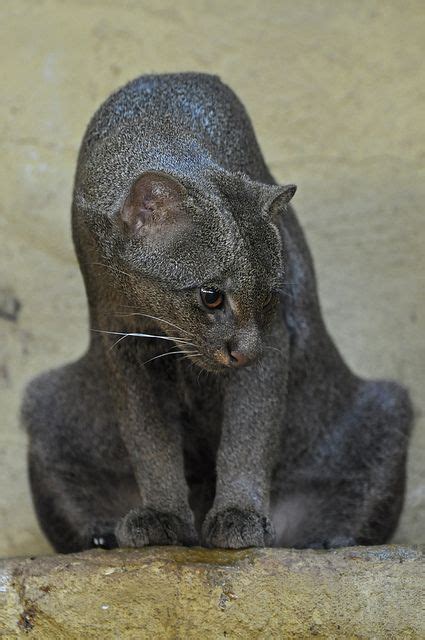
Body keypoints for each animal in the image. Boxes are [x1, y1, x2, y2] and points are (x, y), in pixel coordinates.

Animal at [22, 71, 410, 552]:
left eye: (269, 295)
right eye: (212, 296)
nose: (243, 351)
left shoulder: (274, 340)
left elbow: (248, 434)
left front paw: (240, 515)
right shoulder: (127, 345)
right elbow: (149, 440)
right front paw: (163, 515)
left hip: (384, 410)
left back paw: (325, 540)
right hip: (47, 405)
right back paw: (103, 535)